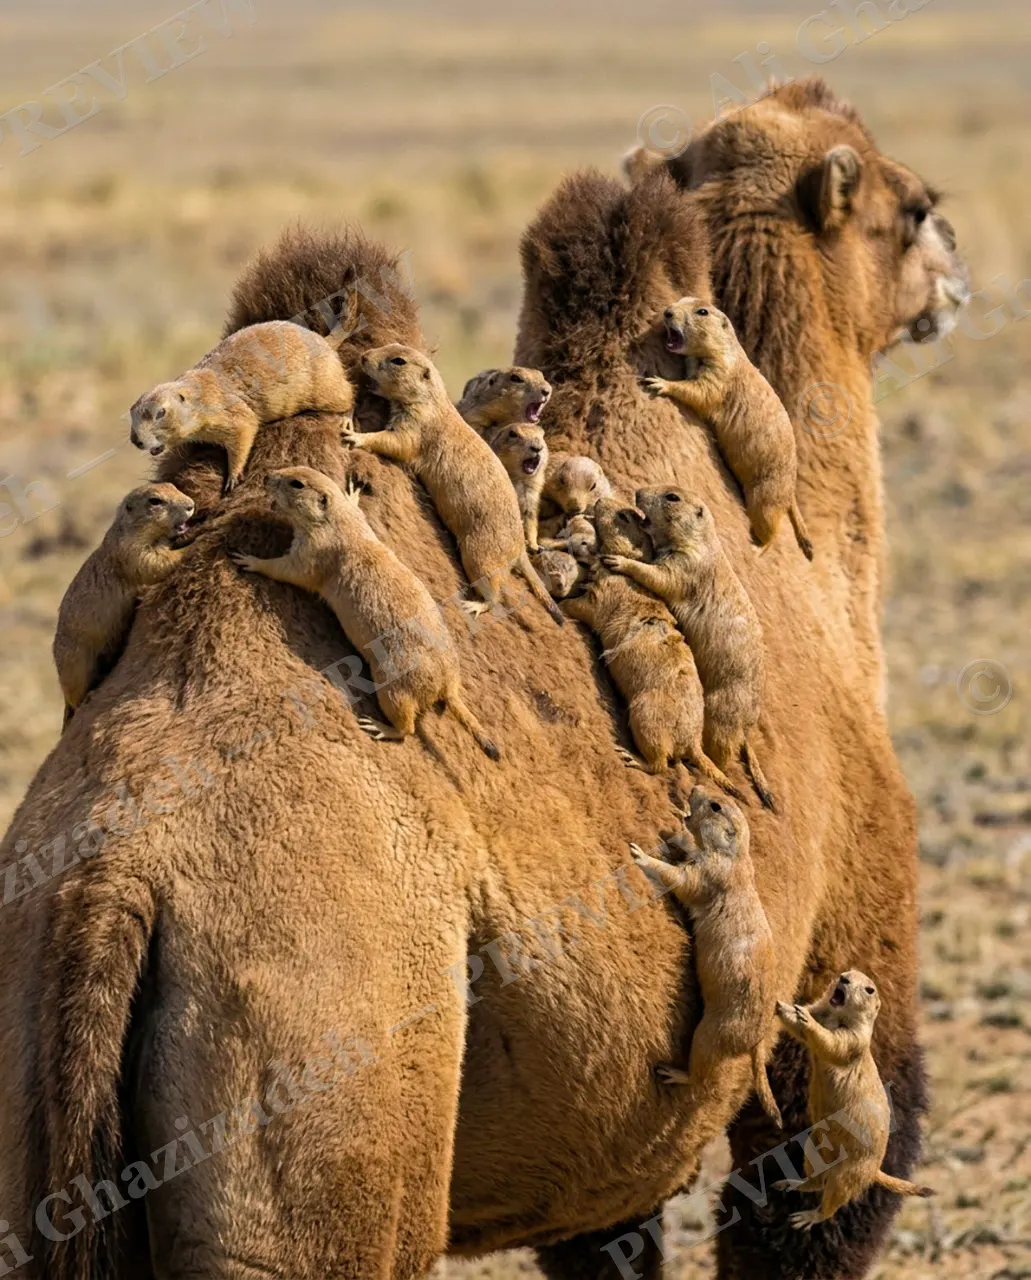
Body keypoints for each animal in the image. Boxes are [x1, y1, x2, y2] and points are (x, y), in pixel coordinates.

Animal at [0, 80, 967, 1280]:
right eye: (911, 206)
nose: (956, 269)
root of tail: (109, 886)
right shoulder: (849, 935)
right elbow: (812, 1199)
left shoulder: (602, 1161)